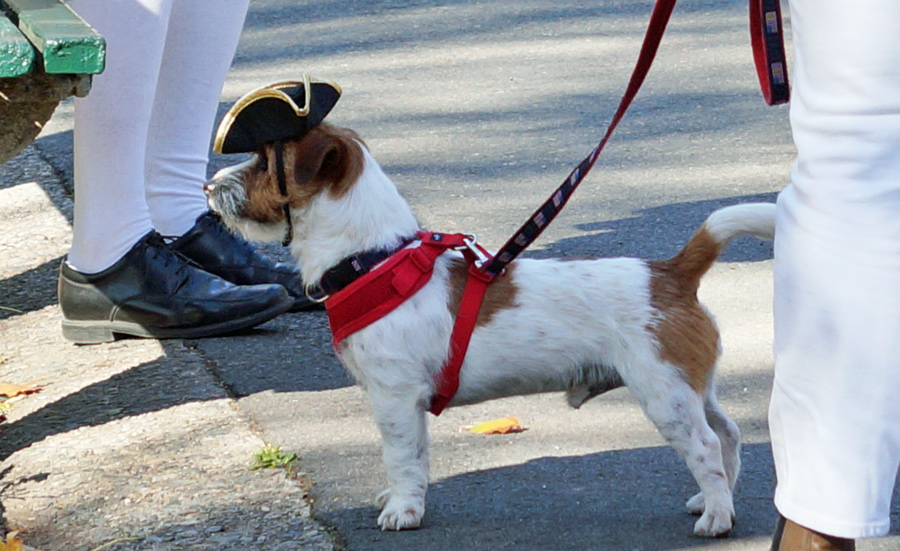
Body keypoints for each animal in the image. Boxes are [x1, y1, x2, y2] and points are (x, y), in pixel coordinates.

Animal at [204, 123, 772, 536]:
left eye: (263, 162)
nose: (208, 185)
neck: (373, 260)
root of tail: (671, 273)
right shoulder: (408, 404)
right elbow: (416, 458)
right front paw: (403, 499)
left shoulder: (393, 398)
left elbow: (400, 457)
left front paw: (403, 510)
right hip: (692, 387)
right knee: (727, 433)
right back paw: (716, 500)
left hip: (664, 394)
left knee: (705, 446)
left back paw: (717, 518)